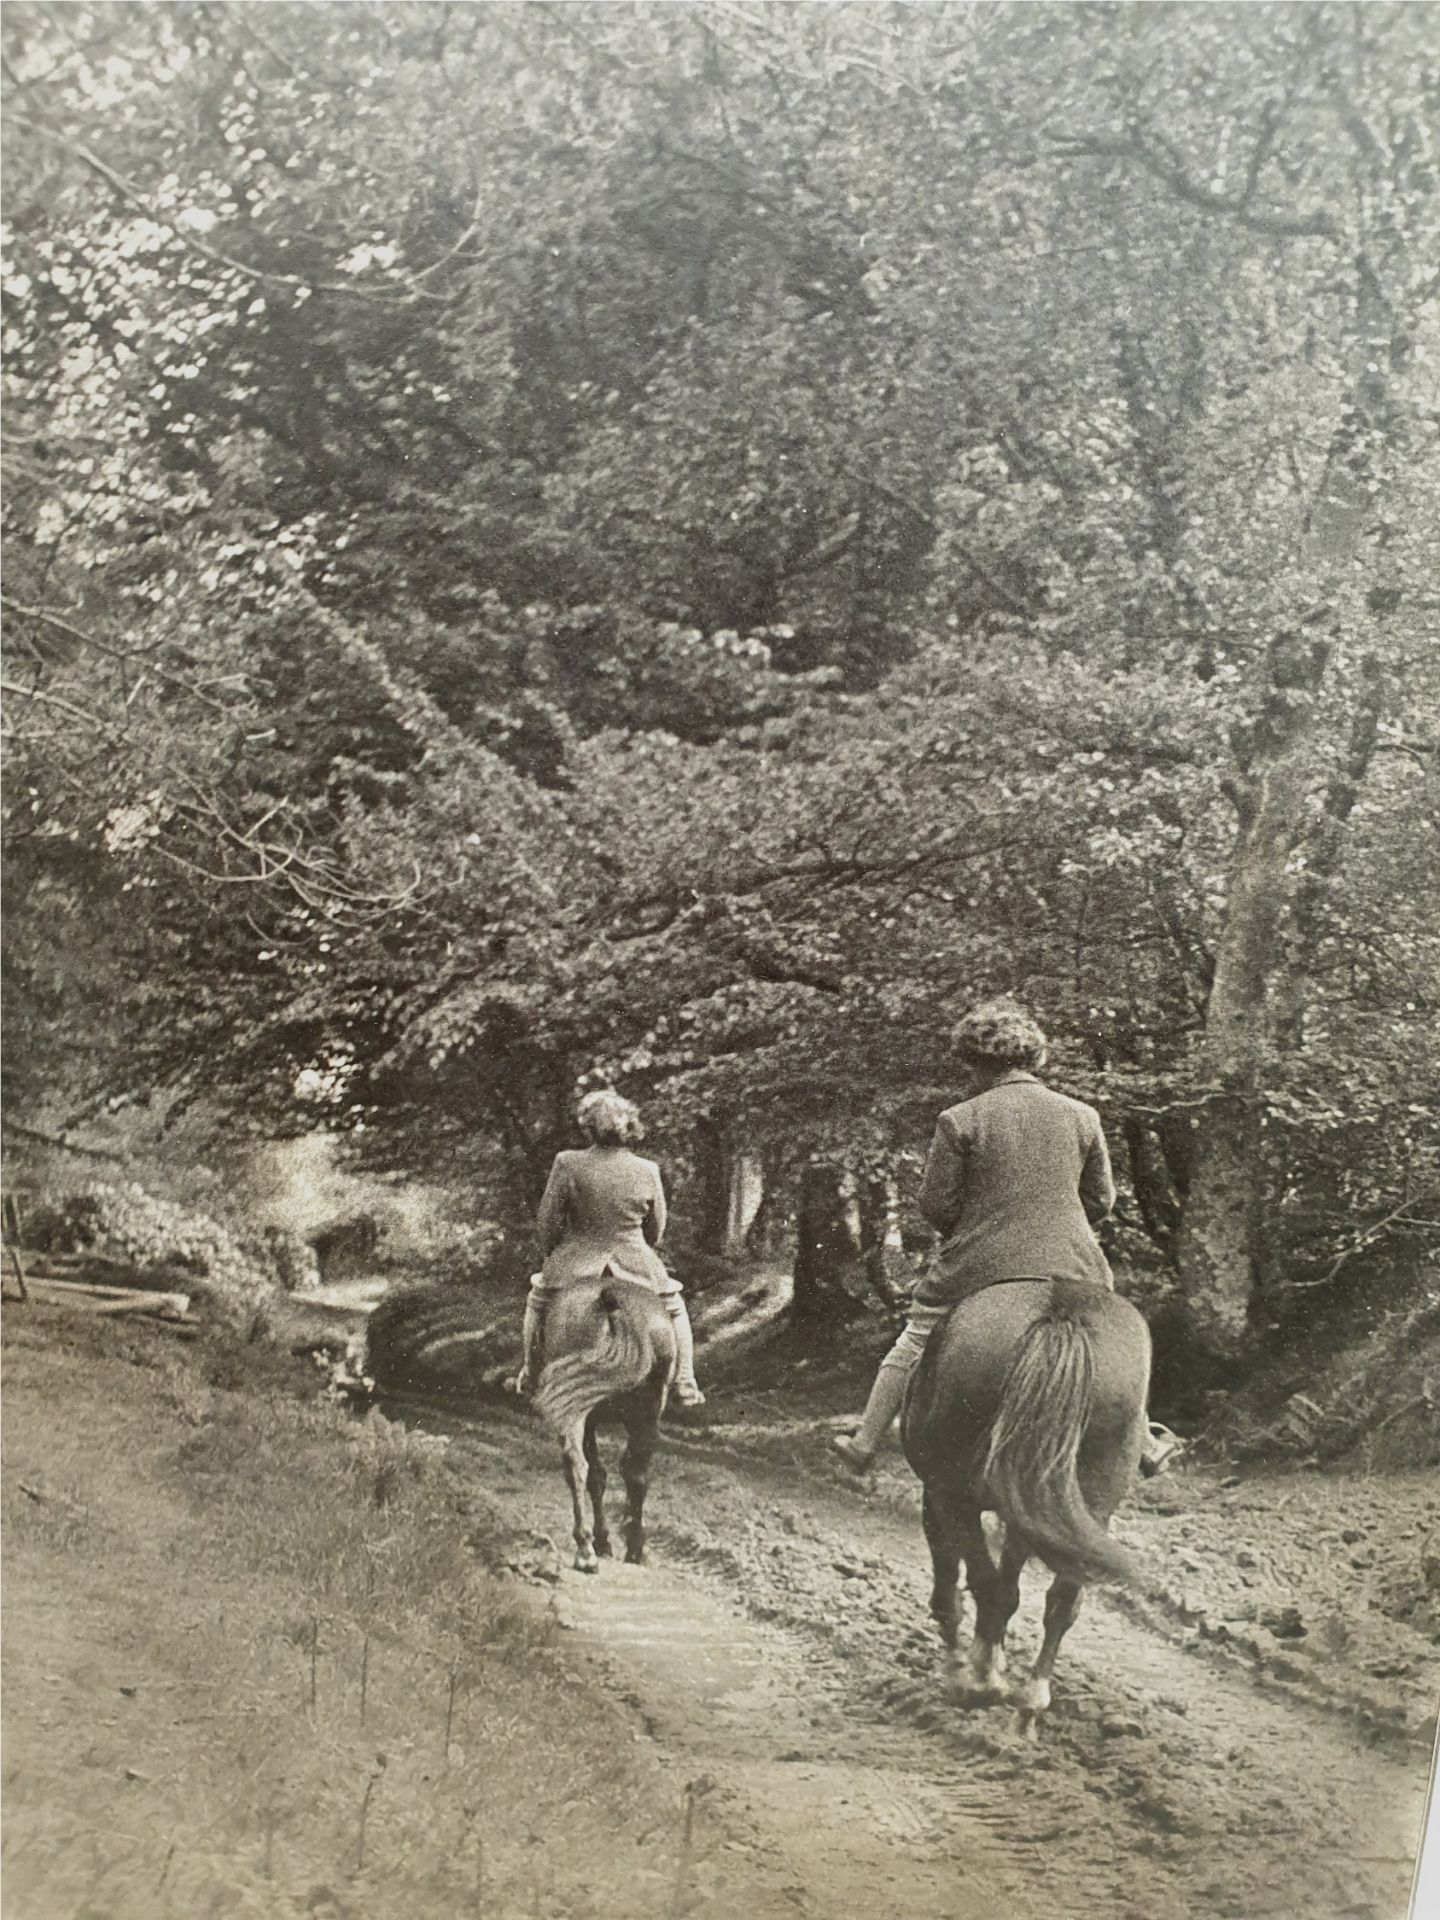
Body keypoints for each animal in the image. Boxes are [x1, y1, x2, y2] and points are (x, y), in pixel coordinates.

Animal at [537, 1282, 683, 1566]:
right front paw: (608, 1542)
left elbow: (597, 1476)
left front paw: (602, 1541)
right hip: (639, 1414)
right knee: (632, 1475)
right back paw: (625, 1548)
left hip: (581, 1406)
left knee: (580, 1465)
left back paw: (587, 1549)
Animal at [902, 1282, 1152, 1735]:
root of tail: (1061, 1314)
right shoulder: (1029, 1512)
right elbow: (1011, 1586)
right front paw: (990, 1656)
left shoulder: (936, 1494)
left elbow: (953, 1586)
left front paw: (965, 1665)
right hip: (1088, 1502)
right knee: (1061, 1600)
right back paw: (1030, 1701)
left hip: (954, 1494)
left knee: (983, 1582)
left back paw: (979, 1684)